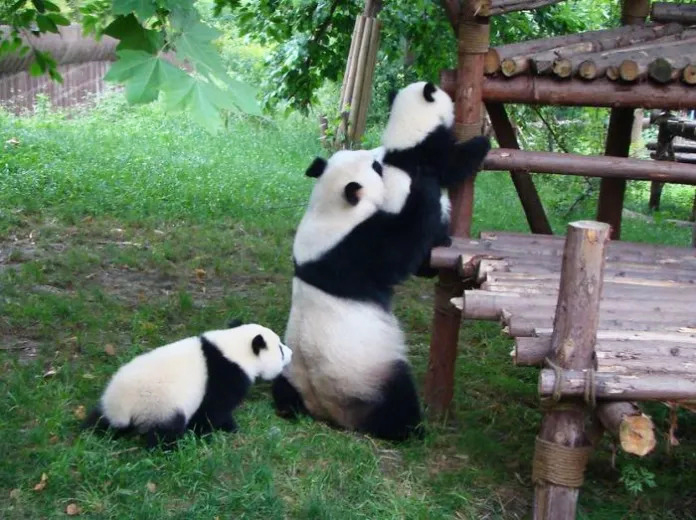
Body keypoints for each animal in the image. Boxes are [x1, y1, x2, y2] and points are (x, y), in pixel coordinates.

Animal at [83, 320, 290, 446]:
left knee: (99, 420)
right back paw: (171, 447)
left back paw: (93, 430)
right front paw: (225, 429)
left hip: (110, 402)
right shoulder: (224, 376)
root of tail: (123, 408)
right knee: (165, 432)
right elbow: (213, 411)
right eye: (280, 349)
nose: (291, 353)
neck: (232, 348)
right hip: (160, 406)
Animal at [270, 148, 444, 440]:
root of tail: (326, 410)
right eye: (376, 167)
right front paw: (425, 182)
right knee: (398, 402)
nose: (383, 153)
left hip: (291, 369)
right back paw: (412, 431)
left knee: (282, 389)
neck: (330, 211)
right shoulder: (356, 249)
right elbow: (403, 247)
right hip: (369, 378)